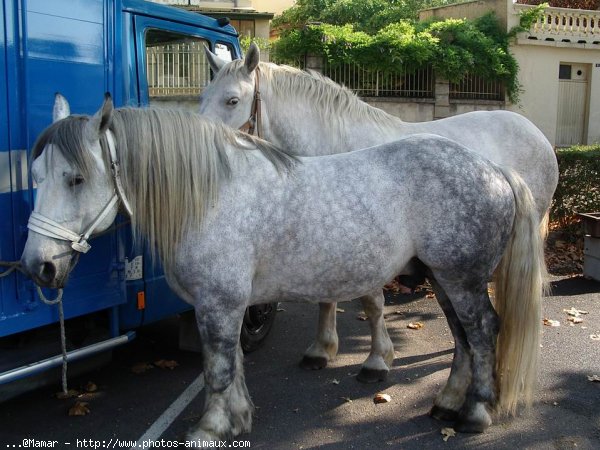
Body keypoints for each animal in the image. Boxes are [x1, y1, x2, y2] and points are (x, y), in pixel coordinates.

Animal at [21, 95, 544, 442]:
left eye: (76, 178)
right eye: (37, 176)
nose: (36, 266)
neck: (211, 195)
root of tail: (494, 170)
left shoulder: (219, 304)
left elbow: (217, 368)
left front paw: (210, 429)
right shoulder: (225, 306)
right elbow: (230, 362)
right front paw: (238, 419)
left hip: (462, 279)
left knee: (482, 332)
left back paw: (475, 413)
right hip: (444, 277)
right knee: (462, 337)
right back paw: (448, 404)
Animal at [198, 42, 556, 384]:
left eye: (232, 100)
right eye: (203, 97)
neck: (336, 146)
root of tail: (535, 132)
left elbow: (372, 304)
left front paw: (377, 361)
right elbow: (327, 298)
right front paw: (321, 350)